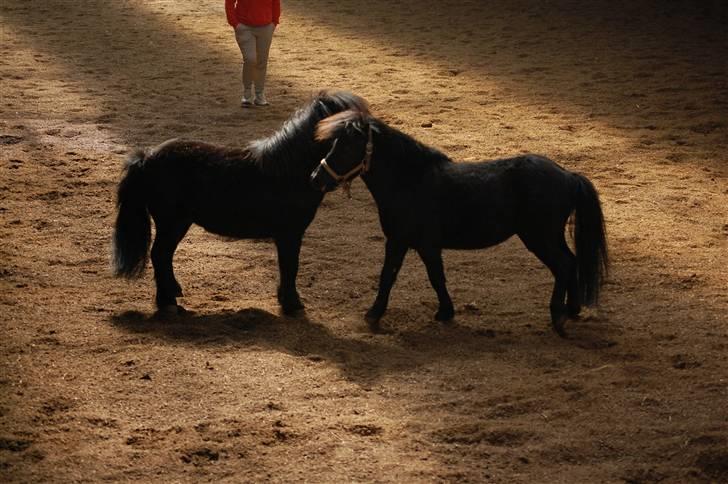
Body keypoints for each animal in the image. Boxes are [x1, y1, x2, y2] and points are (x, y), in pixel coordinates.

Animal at [113, 90, 370, 316]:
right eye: (347, 137)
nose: (319, 179)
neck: (287, 171)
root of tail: (146, 158)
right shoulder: (290, 233)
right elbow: (290, 266)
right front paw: (292, 304)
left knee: (163, 257)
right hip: (172, 223)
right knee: (160, 255)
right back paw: (167, 304)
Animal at [312, 110, 608, 336]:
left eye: (346, 146)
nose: (316, 178)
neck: (410, 182)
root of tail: (568, 175)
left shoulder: (405, 242)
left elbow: (396, 276)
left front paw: (373, 315)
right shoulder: (418, 245)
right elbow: (431, 277)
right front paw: (445, 311)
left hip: (540, 238)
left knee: (564, 265)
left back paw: (558, 316)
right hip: (551, 236)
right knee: (572, 262)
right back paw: (573, 309)